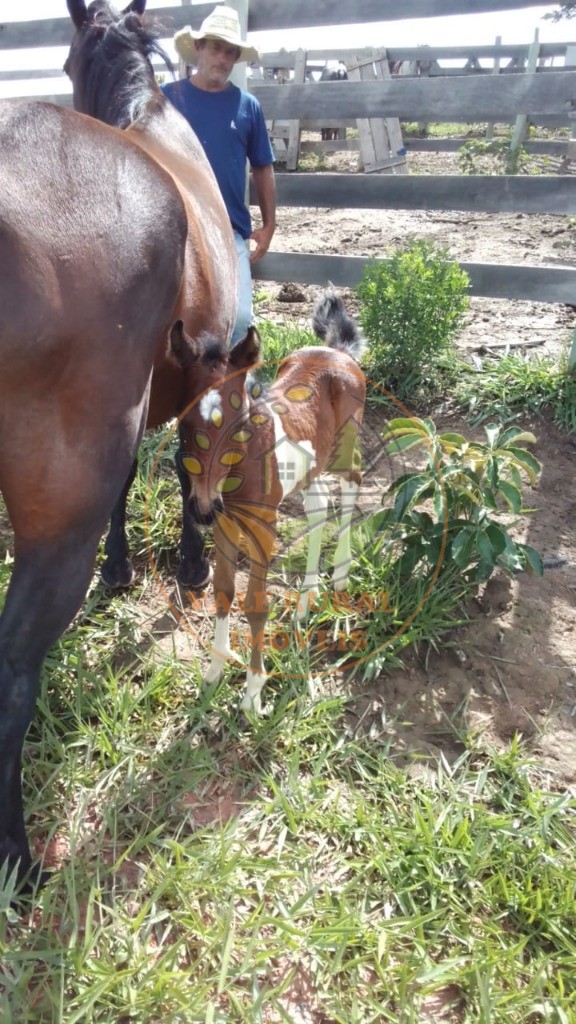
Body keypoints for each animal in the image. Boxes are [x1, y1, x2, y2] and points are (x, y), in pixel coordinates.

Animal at [172, 290, 364, 712]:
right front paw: (215, 670)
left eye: (237, 423)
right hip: (311, 466)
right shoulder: (225, 525)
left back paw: (340, 575)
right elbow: (224, 593)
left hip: (344, 451)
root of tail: (338, 352)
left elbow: (255, 604)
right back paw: (306, 602)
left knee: (352, 485)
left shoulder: (263, 528)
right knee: (318, 505)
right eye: (183, 423)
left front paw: (253, 693)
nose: (202, 509)